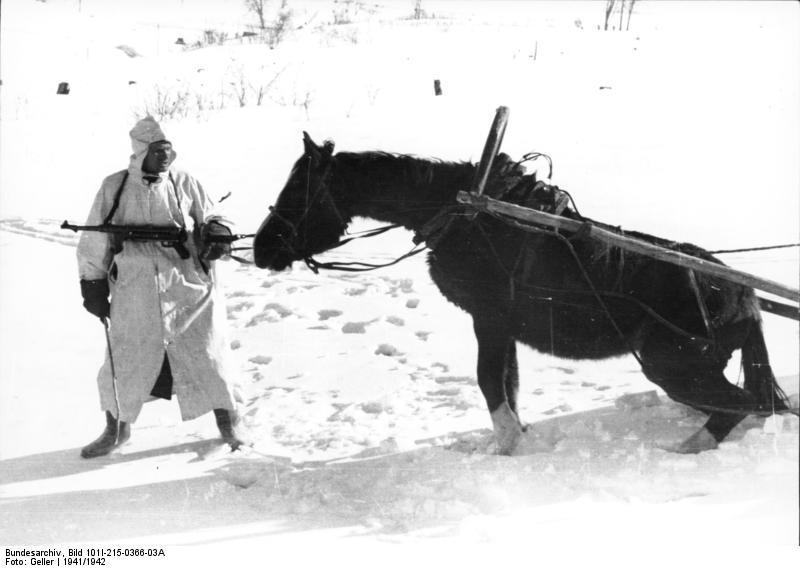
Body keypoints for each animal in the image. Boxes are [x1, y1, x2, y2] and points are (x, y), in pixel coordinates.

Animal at [255, 132, 788, 452]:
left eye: (299, 191)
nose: (261, 247)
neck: (467, 215)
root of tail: (744, 295)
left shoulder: (488, 320)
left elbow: (491, 382)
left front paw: (507, 444)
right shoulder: (501, 326)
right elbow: (508, 381)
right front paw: (516, 435)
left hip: (673, 366)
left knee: (746, 405)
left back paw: (688, 448)